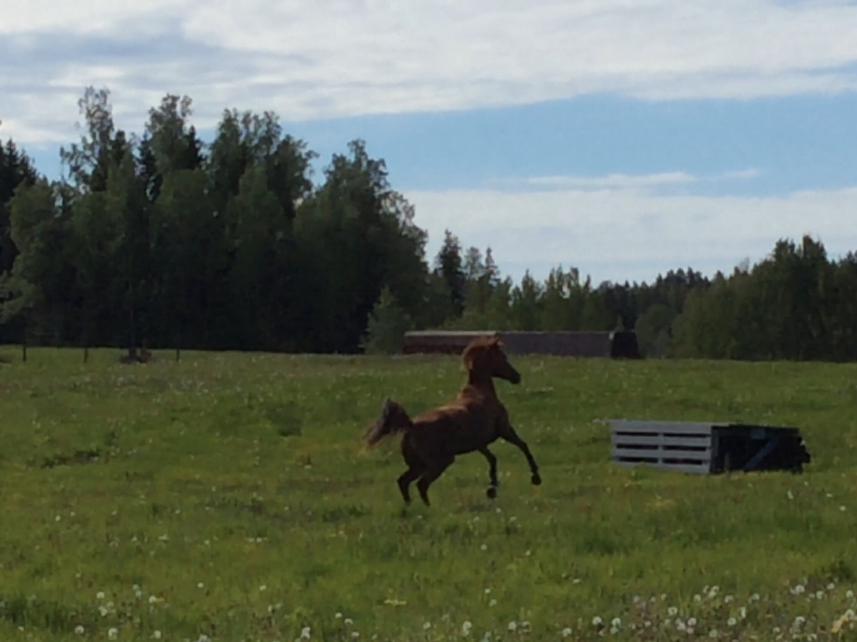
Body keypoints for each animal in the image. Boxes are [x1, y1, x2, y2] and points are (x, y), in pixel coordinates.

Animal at [362, 336, 540, 504]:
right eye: (502, 357)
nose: (517, 377)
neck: (480, 392)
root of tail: (411, 426)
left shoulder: (480, 444)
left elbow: (493, 459)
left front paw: (492, 490)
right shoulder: (504, 429)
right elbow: (523, 446)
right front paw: (535, 478)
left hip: (419, 465)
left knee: (403, 482)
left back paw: (411, 507)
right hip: (439, 462)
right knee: (421, 484)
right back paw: (430, 509)